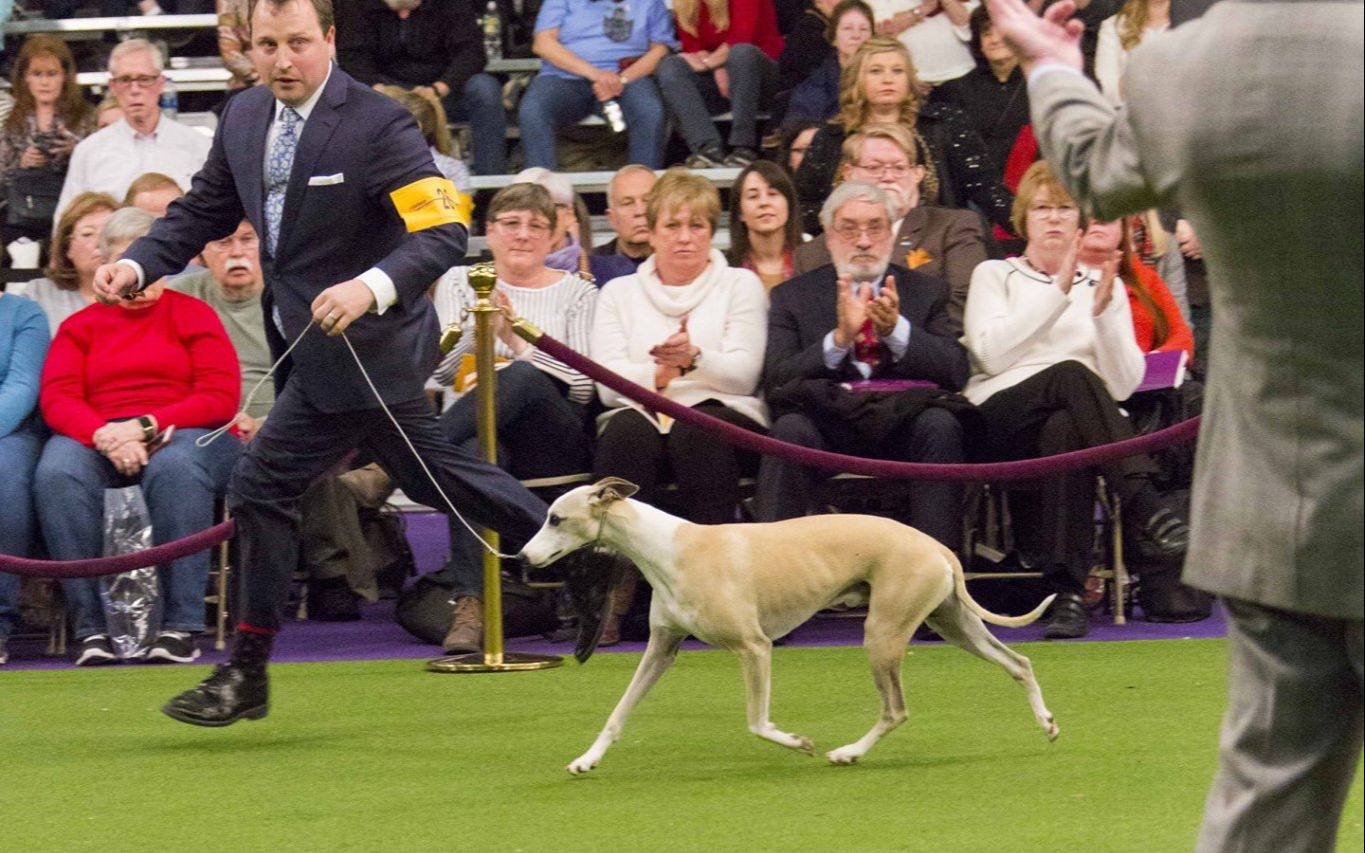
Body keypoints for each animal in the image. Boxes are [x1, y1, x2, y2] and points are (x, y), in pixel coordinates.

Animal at [515, 474, 1059, 775]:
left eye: (556, 518)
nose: (521, 558)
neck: (669, 549)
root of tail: (938, 546)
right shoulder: (660, 650)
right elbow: (619, 711)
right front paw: (587, 759)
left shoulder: (754, 647)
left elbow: (757, 722)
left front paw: (799, 742)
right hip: (952, 623)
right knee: (1020, 662)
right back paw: (1047, 724)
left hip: (882, 635)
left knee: (896, 710)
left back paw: (847, 753)